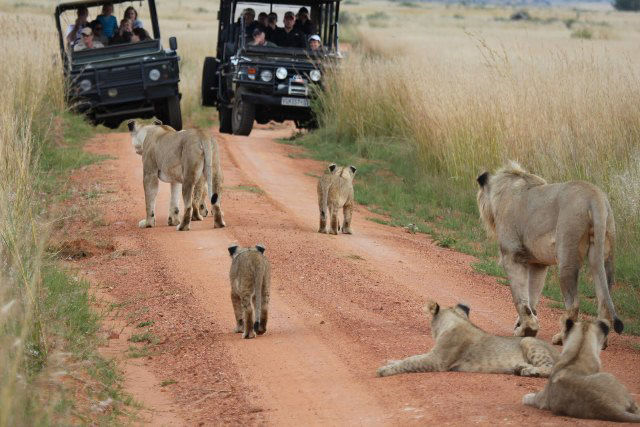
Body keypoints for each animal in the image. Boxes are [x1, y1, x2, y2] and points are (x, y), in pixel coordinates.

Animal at [378, 302, 556, 380]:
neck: (455, 321)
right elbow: (411, 357)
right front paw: (391, 361)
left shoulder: (437, 360)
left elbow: (410, 362)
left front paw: (384, 370)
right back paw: (521, 367)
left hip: (528, 341)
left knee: (550, 368)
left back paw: (530, 371)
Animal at [476, 161, 620, 344]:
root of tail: (595, 196)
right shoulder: (538, 263)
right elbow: (532, 297)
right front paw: (527, 326)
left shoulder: (512, 255)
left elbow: (520, 299)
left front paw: (526, 328)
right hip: (603, 251)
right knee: (604, 300)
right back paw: (600, 340)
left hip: (567, 253)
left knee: (574, 304)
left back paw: (562, 337)